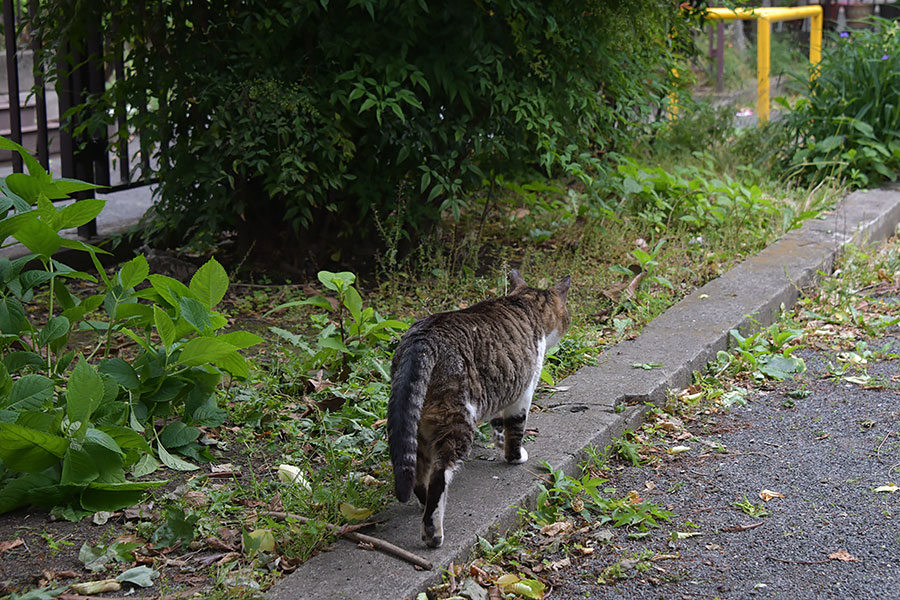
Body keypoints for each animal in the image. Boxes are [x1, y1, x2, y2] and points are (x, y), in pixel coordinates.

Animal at [384, 272, 568, 548]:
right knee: (439, 473)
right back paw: (433, 532)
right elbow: (516, 428)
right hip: (456, 419)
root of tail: (423, 338)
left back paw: (423, 503)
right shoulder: (523, 391)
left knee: (418, 471)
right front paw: (515, 456)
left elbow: (499, 426)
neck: (525, 303)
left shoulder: (502, 388)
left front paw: (499, 441)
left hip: (418, 424)